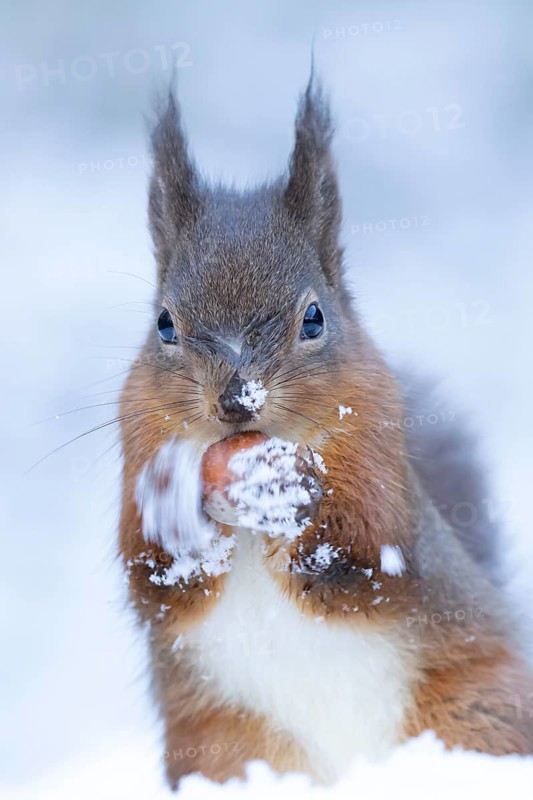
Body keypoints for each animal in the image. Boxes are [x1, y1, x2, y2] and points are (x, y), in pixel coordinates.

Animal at [119, 78, 533, 790]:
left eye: (314, 318)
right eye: (164, 324)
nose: (237, 401)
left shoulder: (382, 466)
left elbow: (364, 556)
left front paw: (290, 490)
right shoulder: (134, 443)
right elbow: (153, 577)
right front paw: (172, 505)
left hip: (477, 711)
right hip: (228, 751)